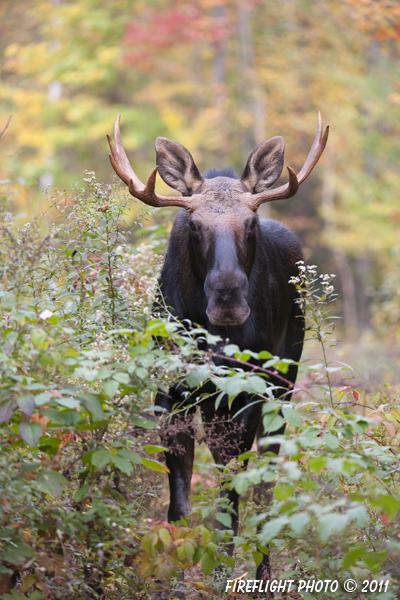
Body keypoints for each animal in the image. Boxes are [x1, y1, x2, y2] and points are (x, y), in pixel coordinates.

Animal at [107, 111, 328, 576]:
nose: (228, 299)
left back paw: (263, 573)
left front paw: (221, 571)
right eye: (194, 225)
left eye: (250, 223)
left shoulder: (248, 391)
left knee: (265, 481)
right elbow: (178, 501)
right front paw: (175, 573)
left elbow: (232, 493)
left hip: (283, 381)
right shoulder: (170, 392)